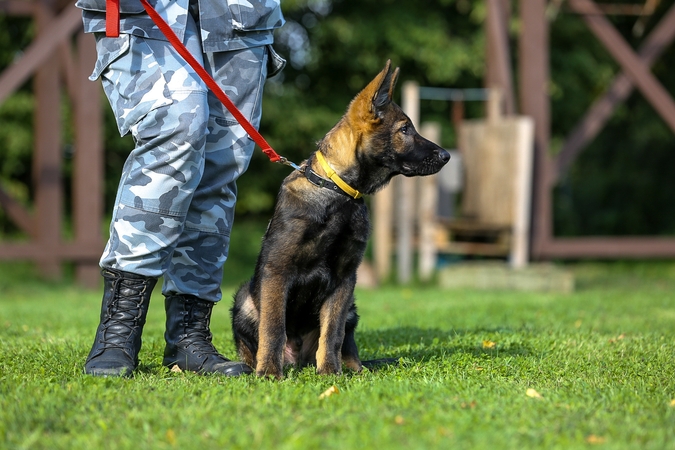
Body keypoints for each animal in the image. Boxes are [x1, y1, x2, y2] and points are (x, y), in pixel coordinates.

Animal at [231, 59, 448, 376]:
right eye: (405, 129)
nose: (446, 156)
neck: (337, 191)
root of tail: (298, 360)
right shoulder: (277, 271)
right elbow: (273, 328)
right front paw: (269, 372)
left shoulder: (345, 278)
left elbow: (332, 332)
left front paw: (331, 373)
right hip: (245, 299)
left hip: (352, 308)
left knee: (346, 344)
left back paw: (353, 369)